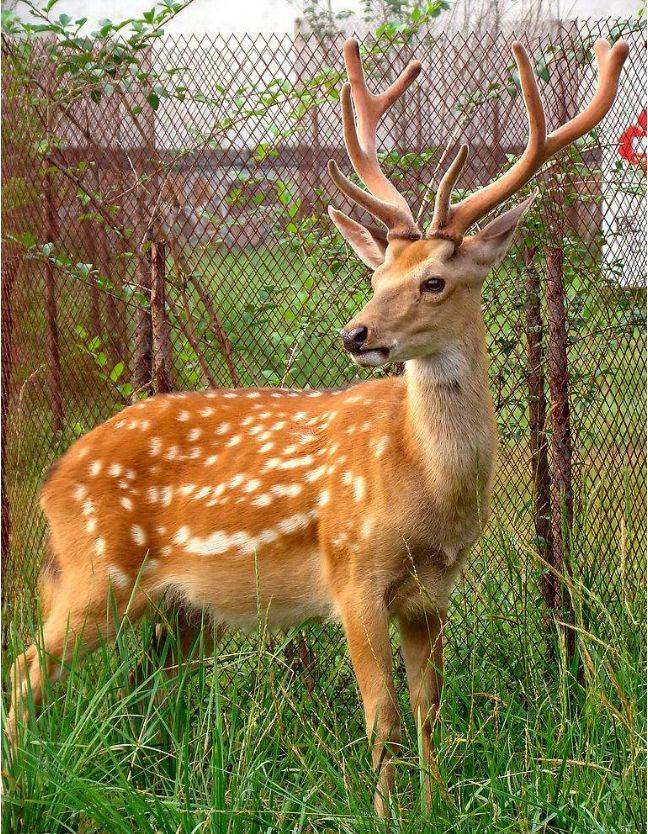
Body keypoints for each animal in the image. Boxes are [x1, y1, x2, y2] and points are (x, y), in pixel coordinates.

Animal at [7, 36, 627, 816]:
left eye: (433, 281)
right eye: (376, 275)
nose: (356, 334)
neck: (427, 485)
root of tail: (54, 479)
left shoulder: (433, 592)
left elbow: (428, 708)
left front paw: (436, 807)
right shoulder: (352, 569)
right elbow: (381, 715)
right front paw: (386, 815)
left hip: (183, 611)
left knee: (139, 689)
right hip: (95, 570)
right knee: (27, 671)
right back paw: (23, 783)